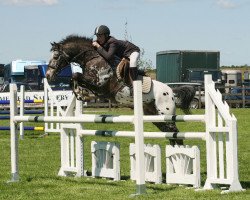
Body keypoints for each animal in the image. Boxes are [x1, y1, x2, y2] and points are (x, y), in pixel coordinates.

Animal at [46, 34, 195, 145]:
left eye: (55, 56)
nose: (48, 75)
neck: (93, 58)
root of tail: (171, 92)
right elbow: (74, 79)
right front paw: (80, 94)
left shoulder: (100, 84)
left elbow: (76, 75)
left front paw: (80, 93)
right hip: (154, 116)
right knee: (170, 134)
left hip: (166, 113)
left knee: (176, 134)